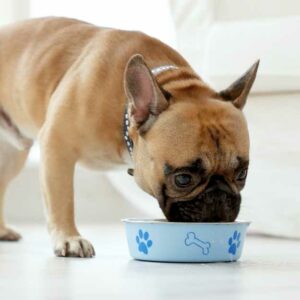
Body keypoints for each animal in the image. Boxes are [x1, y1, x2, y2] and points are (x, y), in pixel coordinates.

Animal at [0, 17, 258, 258]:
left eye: (242, 174)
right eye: (183, 179)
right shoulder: (57, 144)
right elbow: (62, 200)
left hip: (12, 157)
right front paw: (69, 238)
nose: (219, 196)